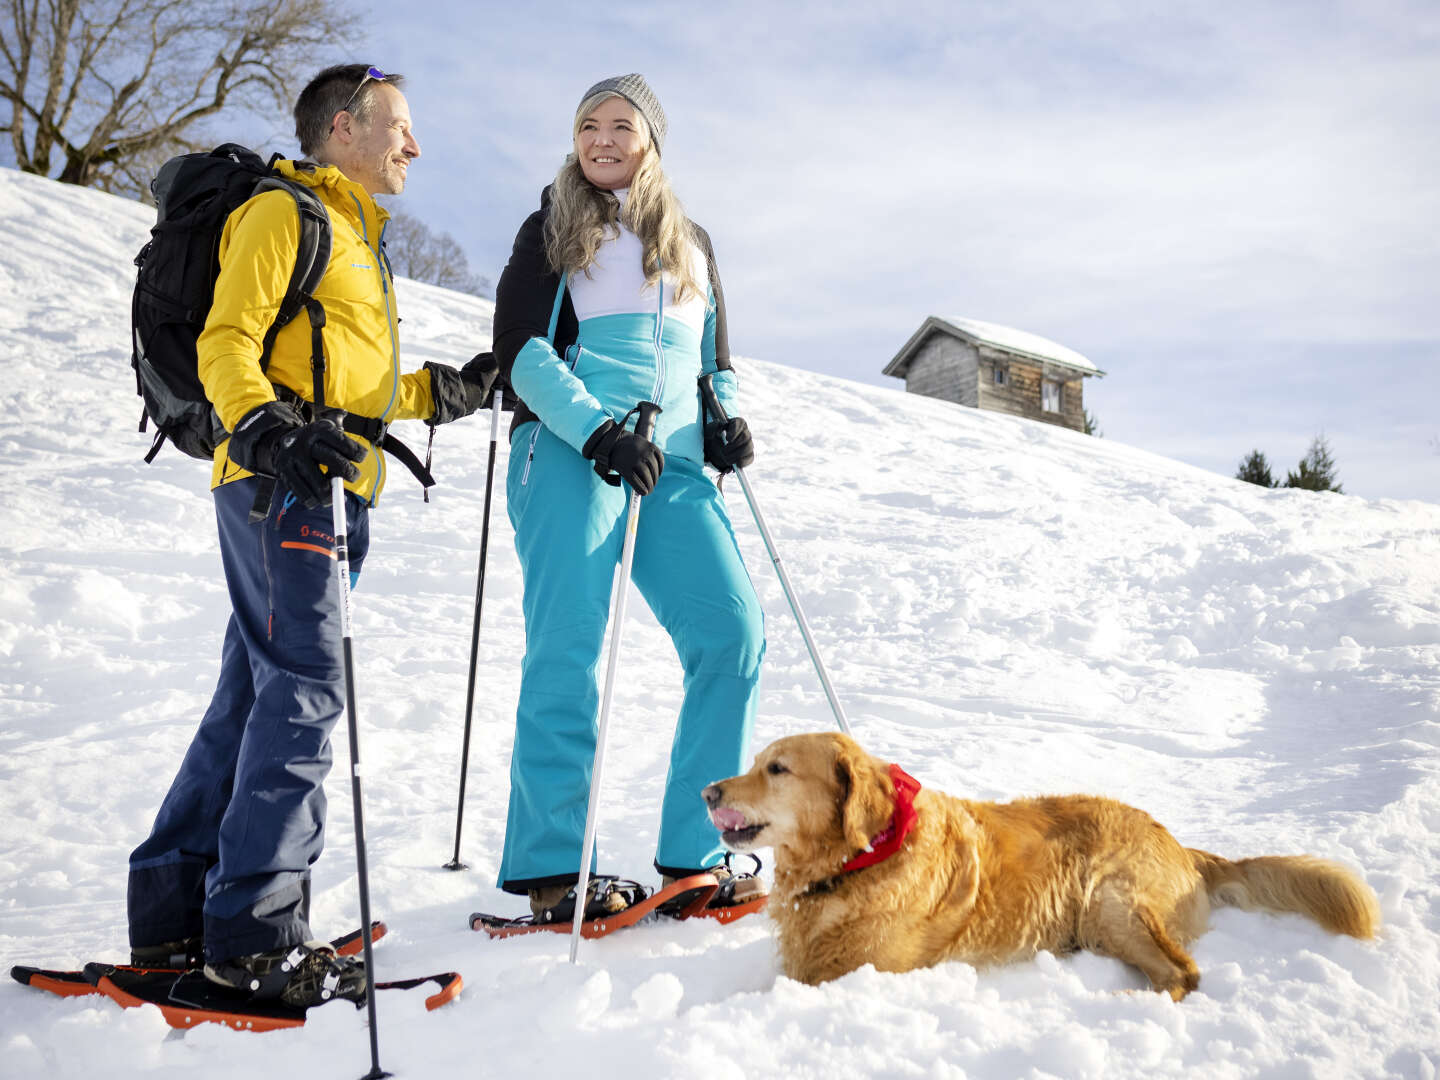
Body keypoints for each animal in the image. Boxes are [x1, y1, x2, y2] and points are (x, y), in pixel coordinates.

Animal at [702, 731, 1376, 1002]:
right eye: (755, 761)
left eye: (777, 769)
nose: (707, 790)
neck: (860, 858)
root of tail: (1184, 846)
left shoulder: (860, 972)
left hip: (1110, 898)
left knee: (1183, 974)